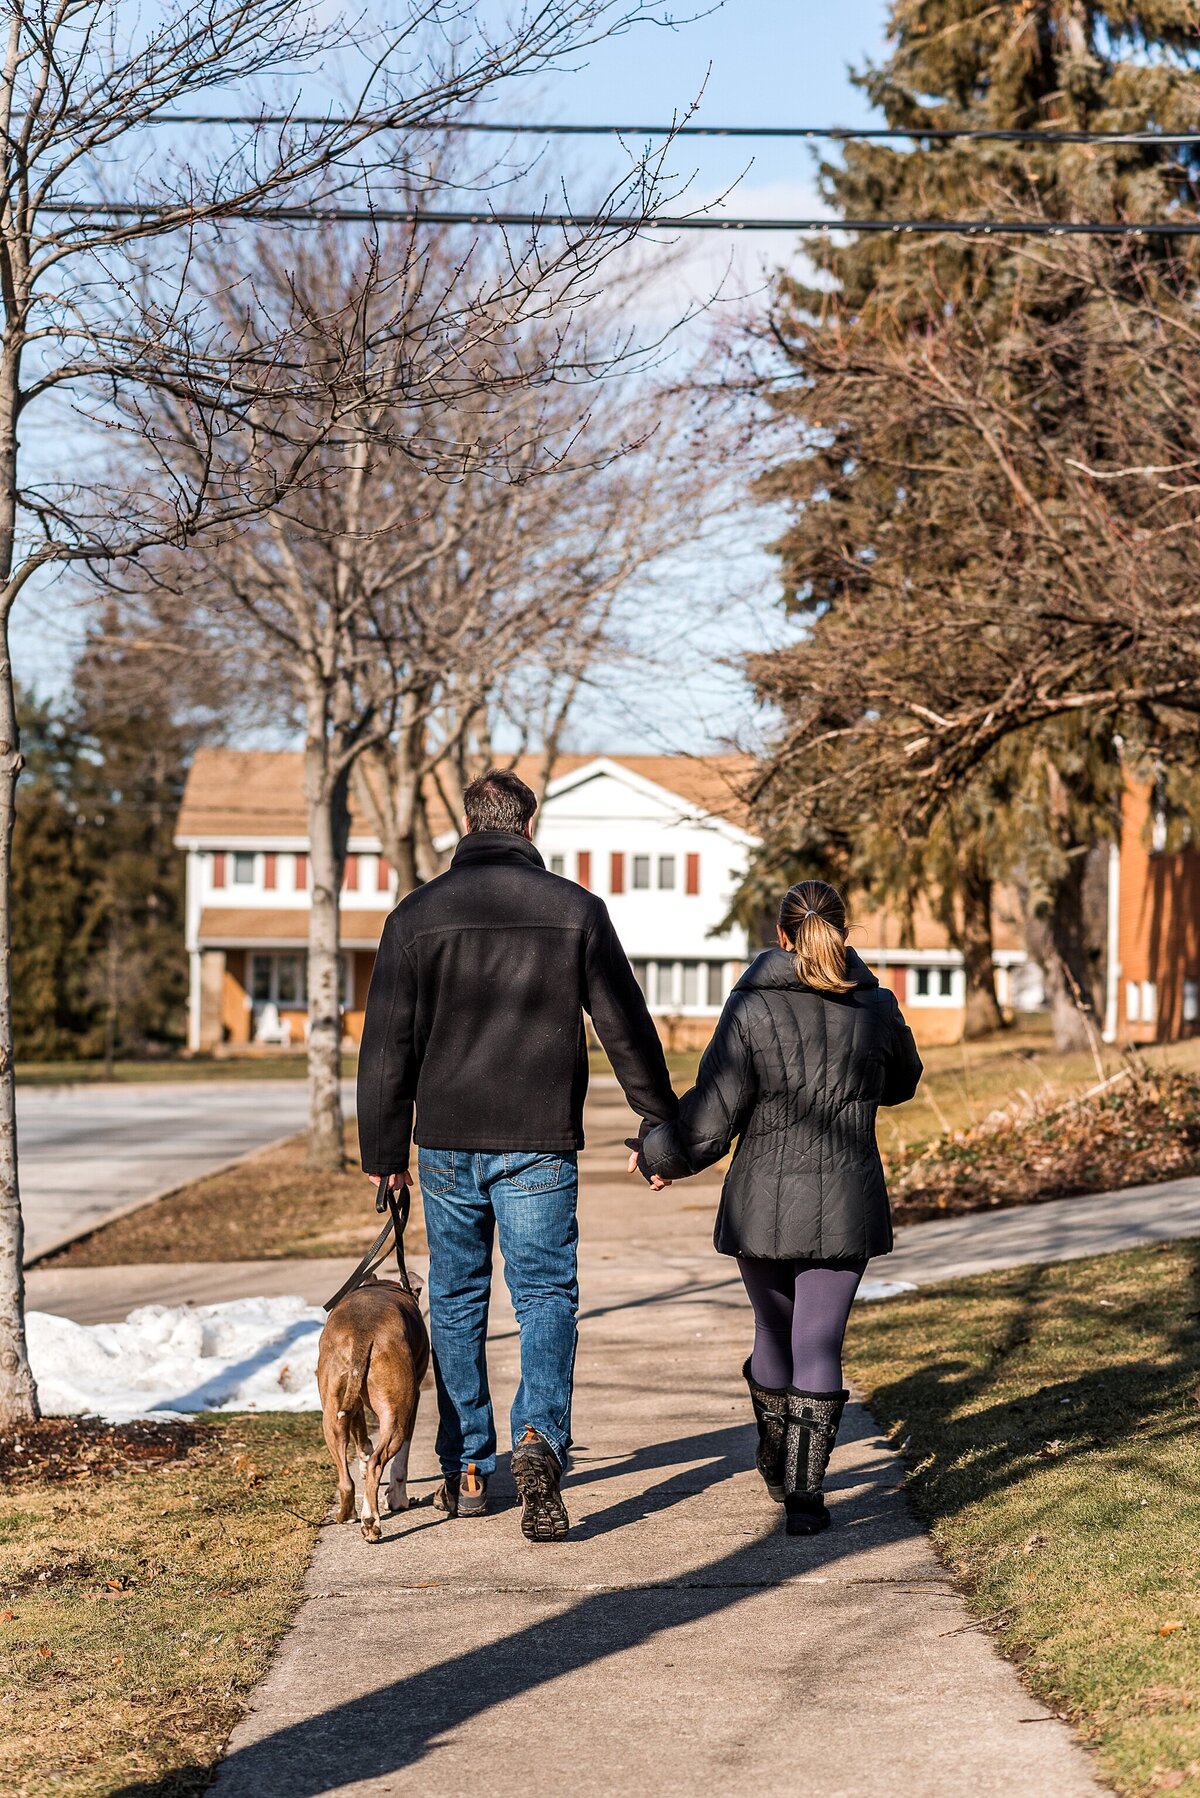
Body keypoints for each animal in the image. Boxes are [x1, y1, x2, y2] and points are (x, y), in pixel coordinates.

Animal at [318, 1280, 431, 1546]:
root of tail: (362, 1333)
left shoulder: (355, 1404)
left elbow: (361, 1438)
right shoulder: (413, 1403)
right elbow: (400, 1463)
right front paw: (398, 1499)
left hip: (332, 1413)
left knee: (346, 1479)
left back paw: (347, 1514)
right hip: (396, 1416)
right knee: (378, 1463)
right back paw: (371, 1522)